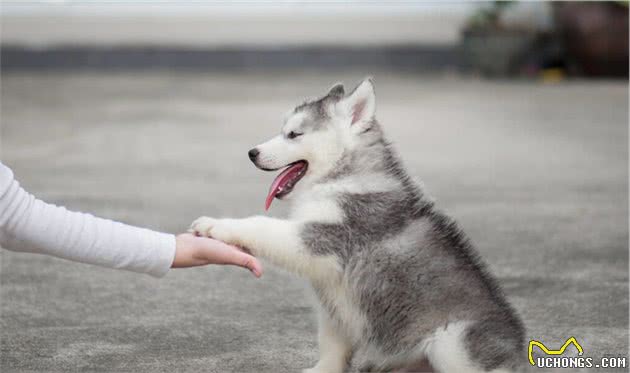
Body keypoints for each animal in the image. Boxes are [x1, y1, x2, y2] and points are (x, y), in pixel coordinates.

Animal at [190, 77, 524, 370]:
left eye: (294, 134)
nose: (252, 153)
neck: (341, 177)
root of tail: (519, 352)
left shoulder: (325, 237)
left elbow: (262, 225)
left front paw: (216, 226)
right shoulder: (334, 301)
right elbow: (332, 344)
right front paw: (323, 370)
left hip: (452, 341)